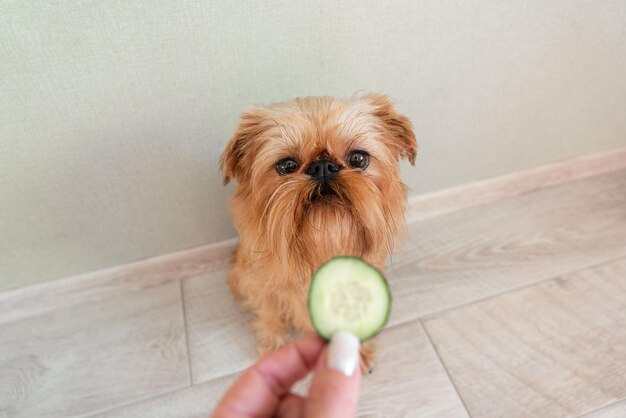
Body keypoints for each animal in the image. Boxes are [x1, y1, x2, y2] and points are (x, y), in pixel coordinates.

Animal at [219, 94, 414, 370]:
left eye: (358, 159)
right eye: (287, 165)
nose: (323, 166)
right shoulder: (258, 284)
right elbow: (269, 316)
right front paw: (275, 347)